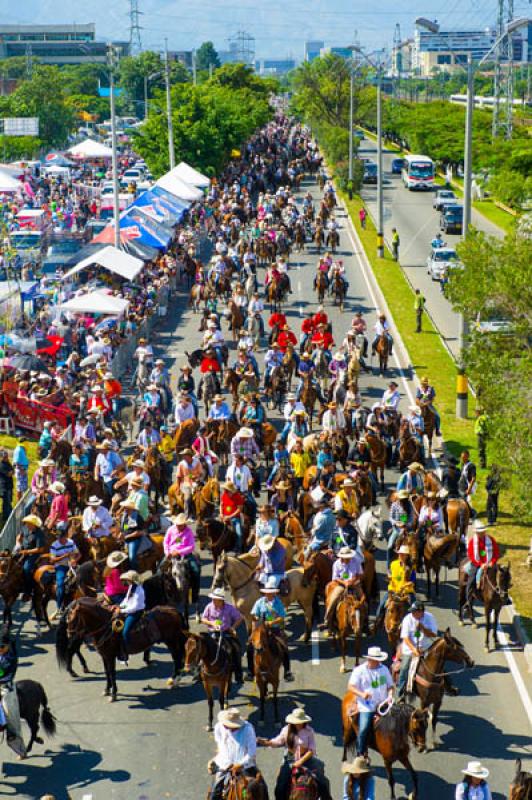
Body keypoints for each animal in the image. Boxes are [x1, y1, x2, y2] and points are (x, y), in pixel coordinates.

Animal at [56, 592, 187, 700]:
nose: (69, 635)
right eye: (68, 619)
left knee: (177, 658)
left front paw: (113, 694)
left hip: (171, 641)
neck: (106, 626)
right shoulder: (104, 656)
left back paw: (174, 680)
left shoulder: (110, 656)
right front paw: (107, 690)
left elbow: (112, 673)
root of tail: (175, 611)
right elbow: (107, 672)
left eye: (75, 619)